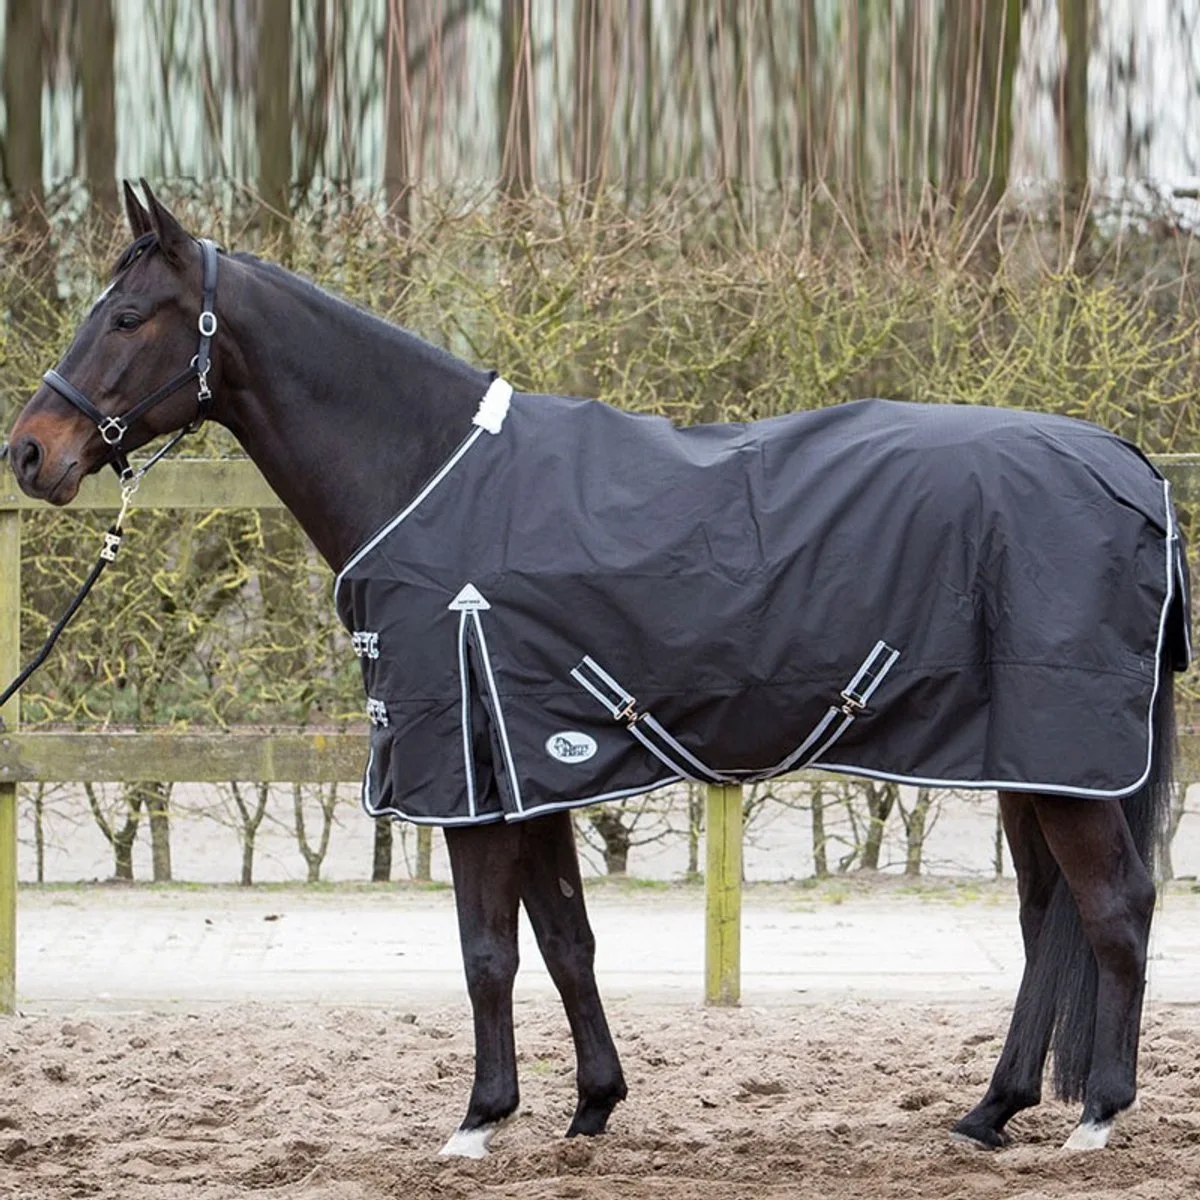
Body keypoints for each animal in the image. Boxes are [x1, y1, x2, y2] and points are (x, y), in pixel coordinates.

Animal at [7, 182, 1188, 1157]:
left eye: (126, 316)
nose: (30, 452)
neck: (431, 478)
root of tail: (1129, 465)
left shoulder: (470, 776)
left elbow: (487, 950)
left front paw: (479, 1121)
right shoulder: (529, 766)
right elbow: (566, 938)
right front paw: (590, 1107)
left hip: (1066, 762)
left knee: (1117, 907)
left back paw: (1098, 1115)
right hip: (1028, 763)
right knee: (1044, 919)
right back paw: (991, 1112)